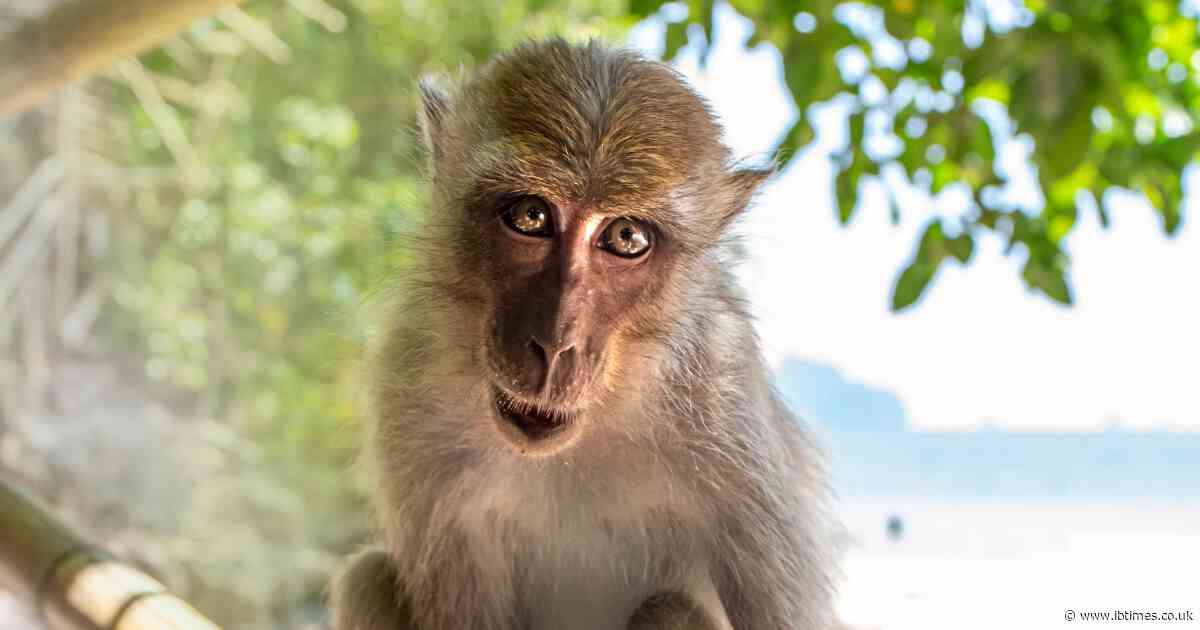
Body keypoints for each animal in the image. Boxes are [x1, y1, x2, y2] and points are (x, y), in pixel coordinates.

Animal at [329, 39, 838, 630]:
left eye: (626, 236)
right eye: (530, 216)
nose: (554, 345)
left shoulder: (727, 400)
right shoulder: (409, 391)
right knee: (367, 577)